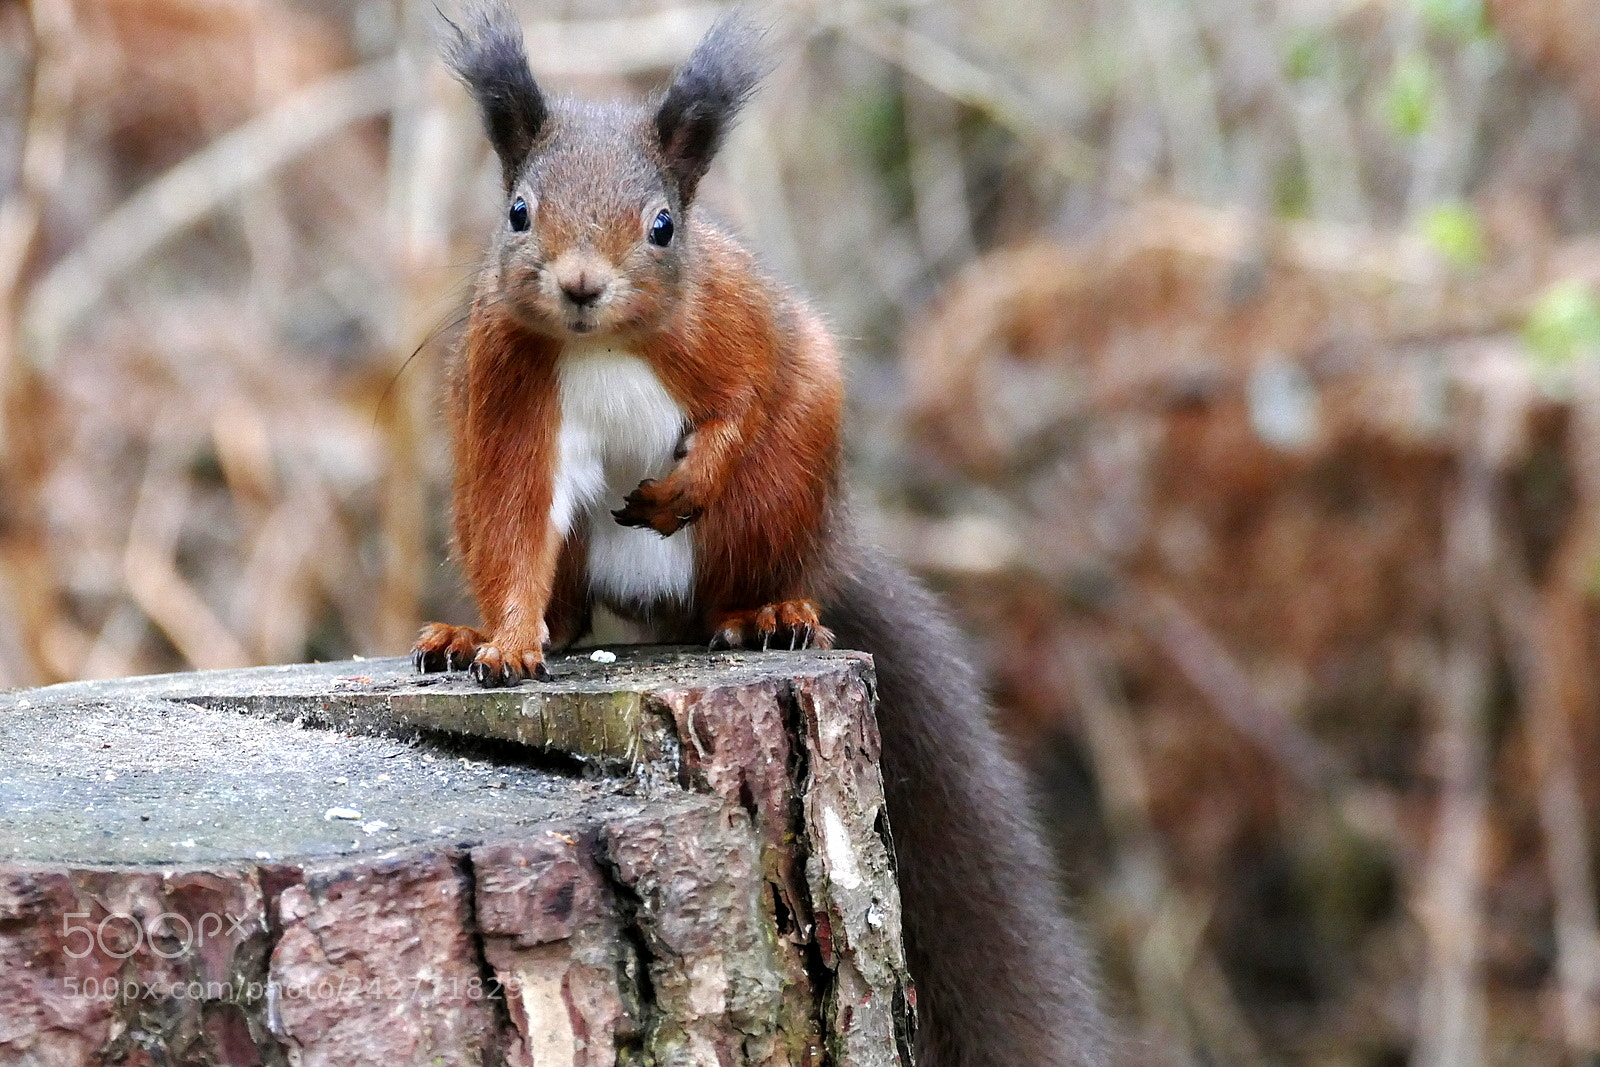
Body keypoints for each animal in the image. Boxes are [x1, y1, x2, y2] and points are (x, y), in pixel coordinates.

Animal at [412, 5, 1108, 1064]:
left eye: (663, 224)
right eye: (519, 212)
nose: (580, 285)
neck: (598, 345)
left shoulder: (738, 331)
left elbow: (745, 403)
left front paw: (685, 483)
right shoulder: (505, 396)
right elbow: (513, 524)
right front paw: (506, 641)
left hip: (779, 498)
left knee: (737, 571)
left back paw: (766, 615)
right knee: (573, 603)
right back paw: (480, 635)